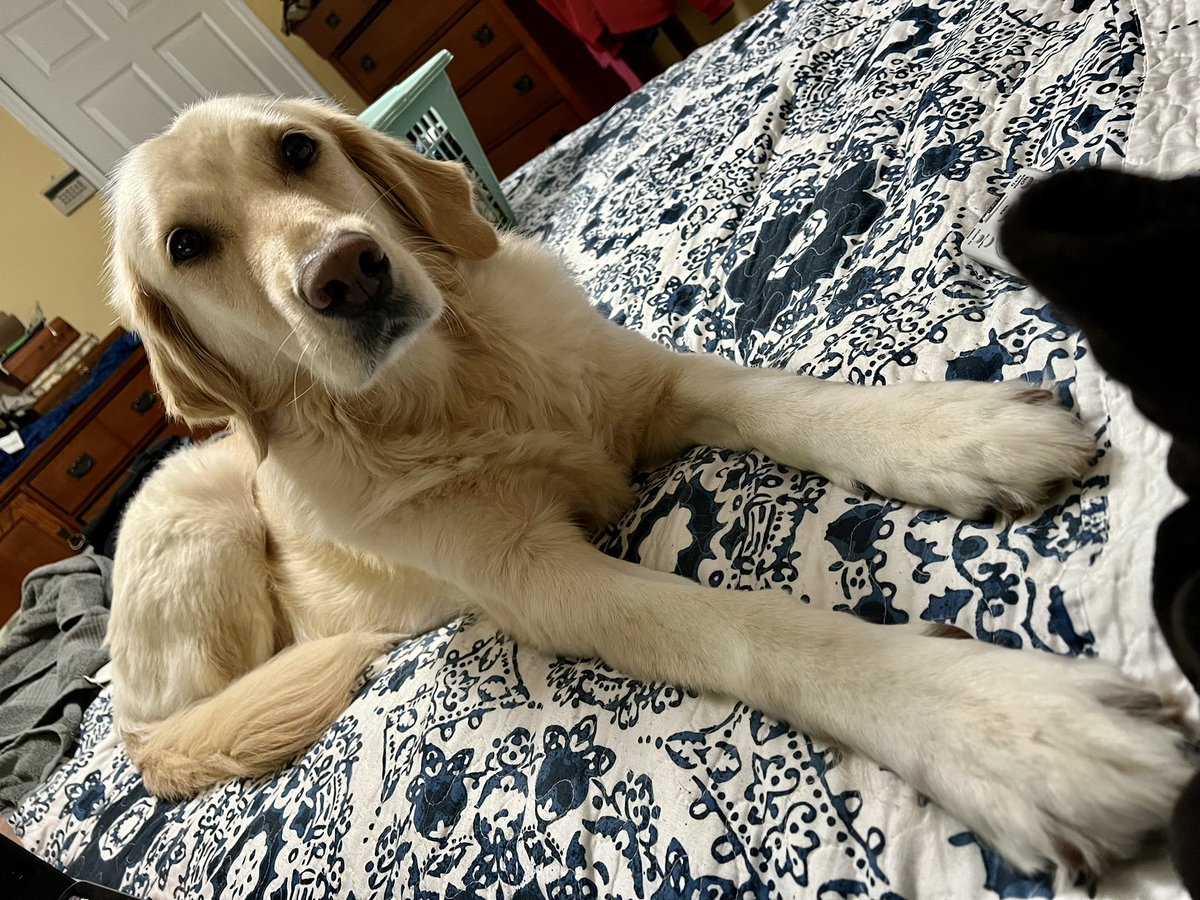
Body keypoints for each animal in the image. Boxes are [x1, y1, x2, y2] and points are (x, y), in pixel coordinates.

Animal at [105, 97, 1190, 873]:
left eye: (295, 150)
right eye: (187, 246)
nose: (347, 272)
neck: (453, 389)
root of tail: (130, 732)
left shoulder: (647, 384)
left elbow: (788, 398)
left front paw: (957, 431)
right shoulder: (546, 580)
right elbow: (751, 625)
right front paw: (1005, 723)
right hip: (203, 515)